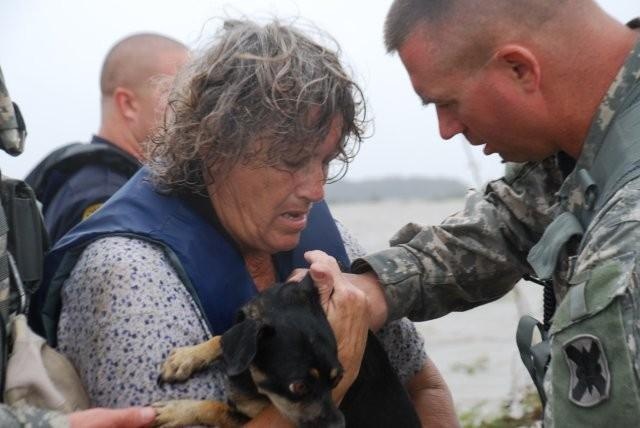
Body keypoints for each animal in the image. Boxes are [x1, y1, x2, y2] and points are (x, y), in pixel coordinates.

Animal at [152, 274, 418, 428]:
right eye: (298, 387)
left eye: (338, 380)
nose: (339, 425)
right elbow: (225, 338)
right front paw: (187, 357)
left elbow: (217, 408)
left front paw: (177, 411)